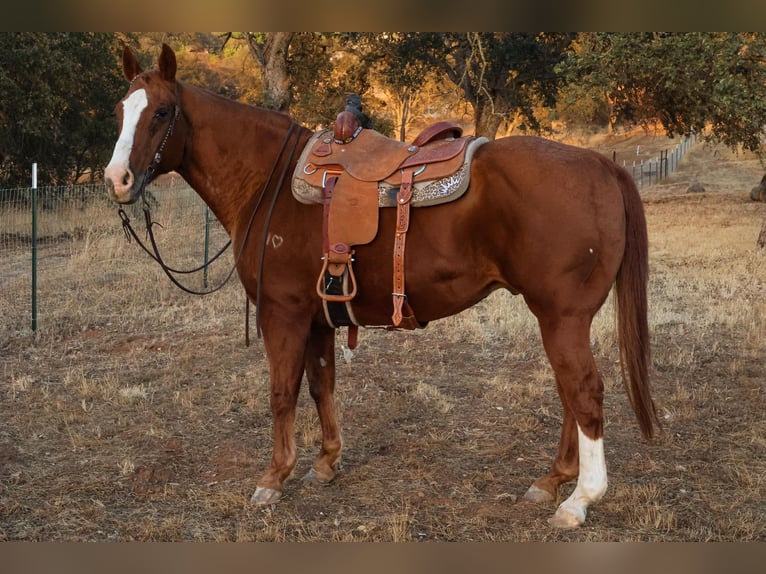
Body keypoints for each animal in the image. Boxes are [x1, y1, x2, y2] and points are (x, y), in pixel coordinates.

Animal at [104, 43, 658, 529]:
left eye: (161, 113)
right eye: (121, 110)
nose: (117, 179)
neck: (269, 182)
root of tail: (599, 164)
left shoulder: (282, 312)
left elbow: (282, 392)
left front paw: (273, 478)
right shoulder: (319, 316)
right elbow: (321, 385)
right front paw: (326, 462)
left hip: (562, 317)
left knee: (584, 392)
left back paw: (579, 500)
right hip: (559, 319)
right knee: (570, 393)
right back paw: (552, 481)